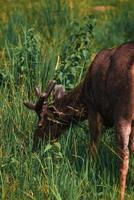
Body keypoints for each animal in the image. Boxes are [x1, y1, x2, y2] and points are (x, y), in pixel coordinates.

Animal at [23, 41, 134, 200]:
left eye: (40, 124)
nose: (35, 144)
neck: (84, 95)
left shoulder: (94, 108)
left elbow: (93, 146)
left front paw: (89, 174)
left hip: (122, 111)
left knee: (123, 154)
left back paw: (120, 194)